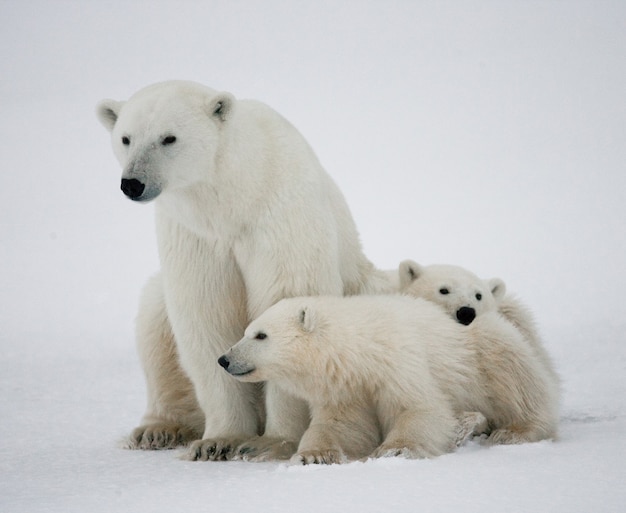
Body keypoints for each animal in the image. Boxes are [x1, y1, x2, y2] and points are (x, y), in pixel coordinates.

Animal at [95, 80, 390, 460]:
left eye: (168, 138)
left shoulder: (280, 218)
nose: (133, 183)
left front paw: (271, 442)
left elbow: (286, 305)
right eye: (126, 138)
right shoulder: (196, 238)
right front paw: (219, 441)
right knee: (155, 324)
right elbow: (207, 318)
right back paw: (157, 429)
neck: (234, 201)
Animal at [217, 292, 560, 464]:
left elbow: (419, 407)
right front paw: (313, 454)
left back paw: (510, 430)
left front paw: (394, 450)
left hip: (480, 345)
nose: (224, 359)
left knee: (514, 373)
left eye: (260, 335)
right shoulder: (345, 386)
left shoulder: (397, 360)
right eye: (246, 330)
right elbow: (341, 425)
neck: (360, 350)